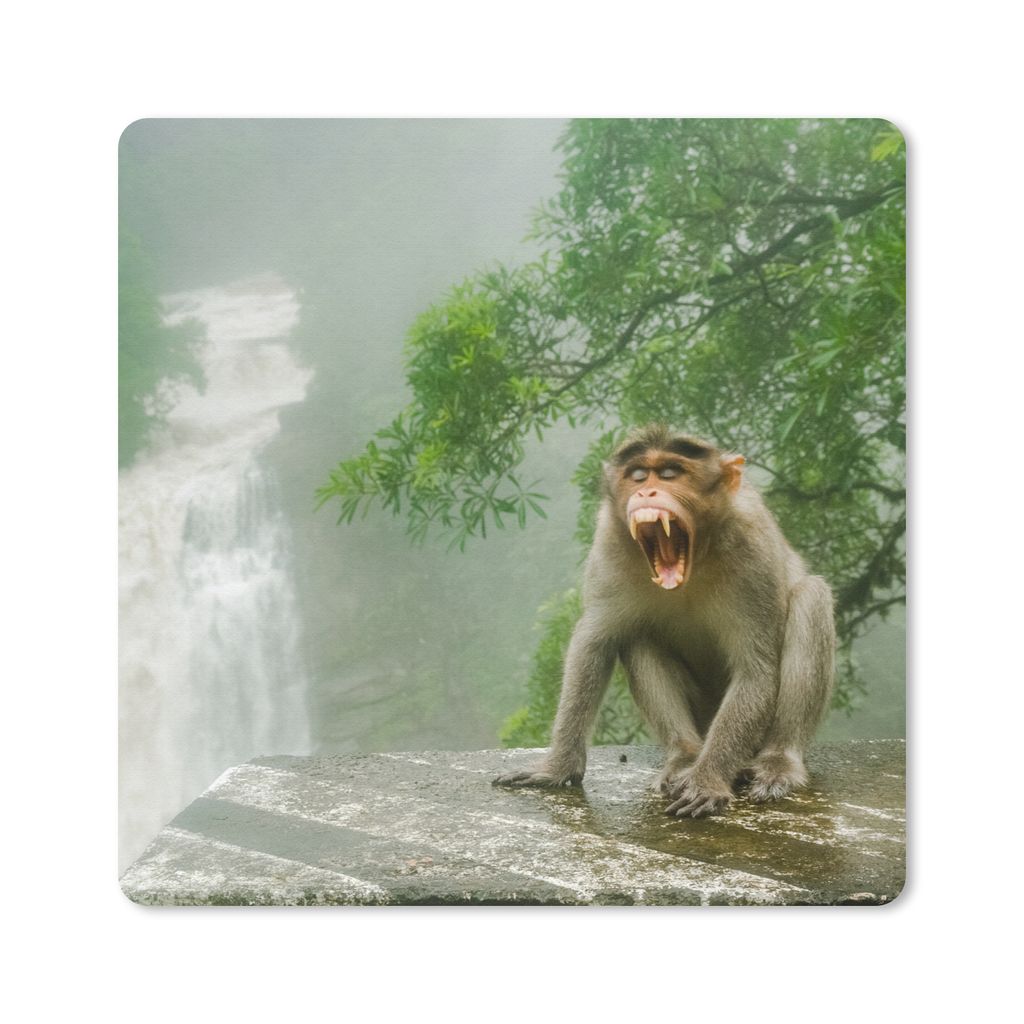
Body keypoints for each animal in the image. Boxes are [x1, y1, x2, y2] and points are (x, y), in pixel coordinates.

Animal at [494, 424, 835, 818]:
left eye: (671, 473)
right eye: (639, 475)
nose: (646, 491)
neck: (697, 556)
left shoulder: (754, 551)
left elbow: (756, 669)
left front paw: (707, 780)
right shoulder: (608, 543)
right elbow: (594, 642)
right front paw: (558, 767)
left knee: (812, 598)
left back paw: (777, 761)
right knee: (636, 634)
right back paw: (684, 756)